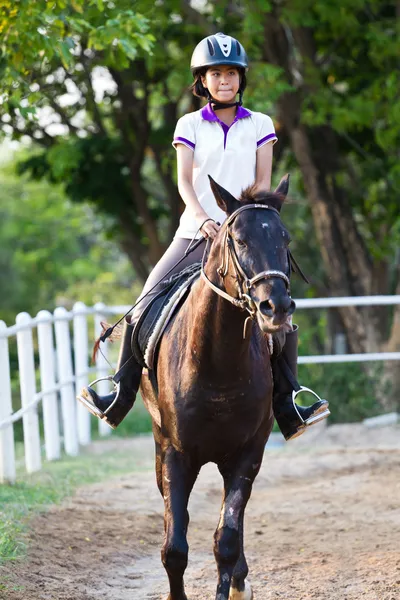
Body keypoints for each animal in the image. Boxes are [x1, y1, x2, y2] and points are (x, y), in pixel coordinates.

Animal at [141, 175, 294, 600]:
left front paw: (235, 584)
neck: (218, 363)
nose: (276, 307)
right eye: (238, 240)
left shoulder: (247, 455)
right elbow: (174, 547)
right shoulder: (176, 455)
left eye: (285, 239)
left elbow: (226, 539)